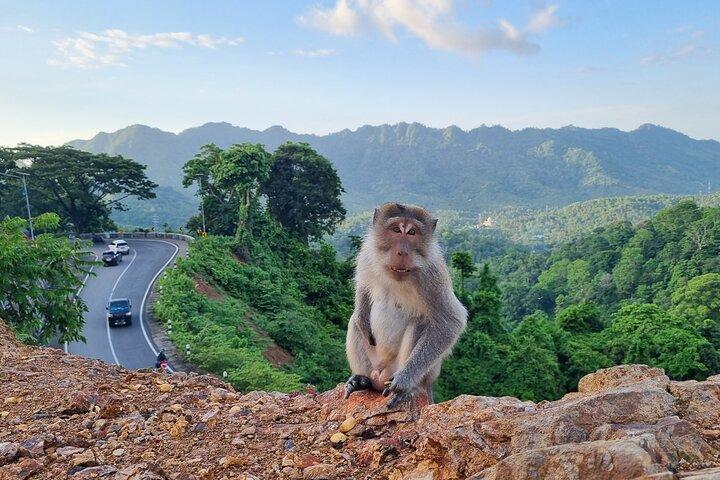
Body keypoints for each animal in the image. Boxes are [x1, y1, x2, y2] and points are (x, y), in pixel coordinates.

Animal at [344, 202, 467, 409]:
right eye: (396, 230)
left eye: (412, 232)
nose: (402, 252)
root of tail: (381, 375)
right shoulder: (367, 253)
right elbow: (363, 286)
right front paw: (362, 316)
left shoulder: (432, 274)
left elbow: (451, 321)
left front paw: (404, 380)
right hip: (375, 364)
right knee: (355, 323)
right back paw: (362, 380)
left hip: (417, 374)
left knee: (420, 322)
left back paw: (410, 389)